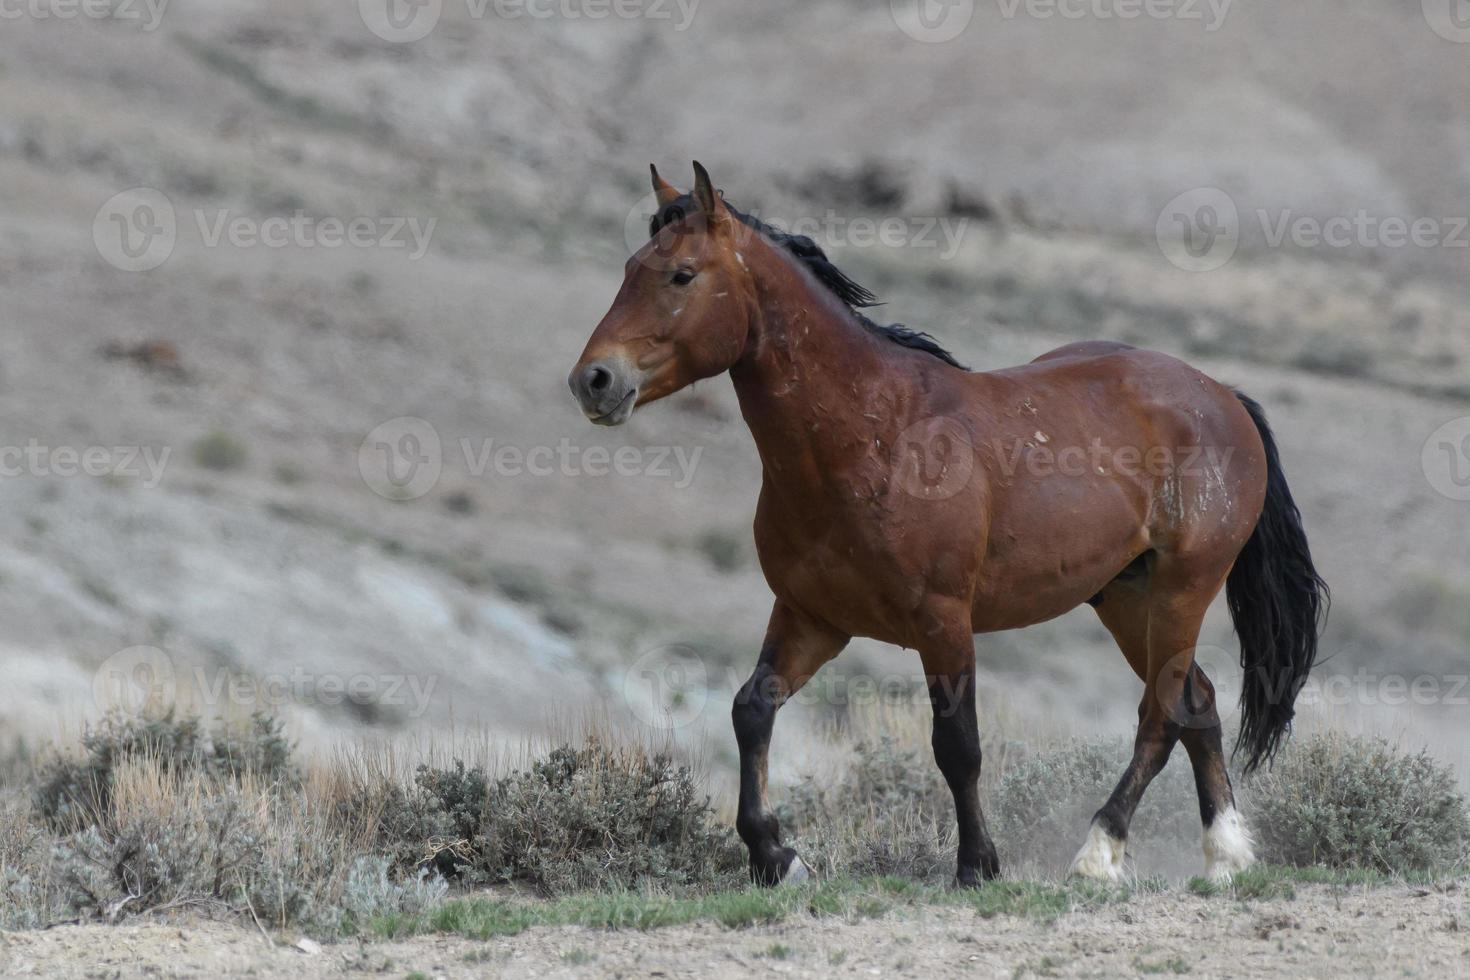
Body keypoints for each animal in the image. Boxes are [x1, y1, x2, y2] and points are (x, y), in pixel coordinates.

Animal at [567, 163, 1328, 887]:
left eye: (681, 273)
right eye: (630, 266)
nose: (593, 381)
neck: (872, 436)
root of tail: (1221, 396)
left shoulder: (943, 622)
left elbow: (957, 745)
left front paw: (976, 865)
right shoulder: (812, 617)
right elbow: (751, 710)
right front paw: (775, 858)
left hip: (1180, 590)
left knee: (1161, 714)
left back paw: (1099, 854)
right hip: (1125, 597)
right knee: (1197, 702)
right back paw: (1225, 857)